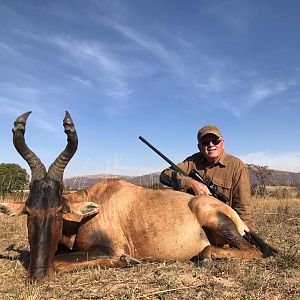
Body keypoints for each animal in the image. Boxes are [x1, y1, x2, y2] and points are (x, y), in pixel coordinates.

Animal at [0, 112, 276, 284]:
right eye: (29, 212)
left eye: (59, 210)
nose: (37, 276)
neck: (100, 202)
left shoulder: (109, 248)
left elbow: (59, 262)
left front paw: (128, 260)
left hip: (210, 216)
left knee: (248, 250)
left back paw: (205, 258)